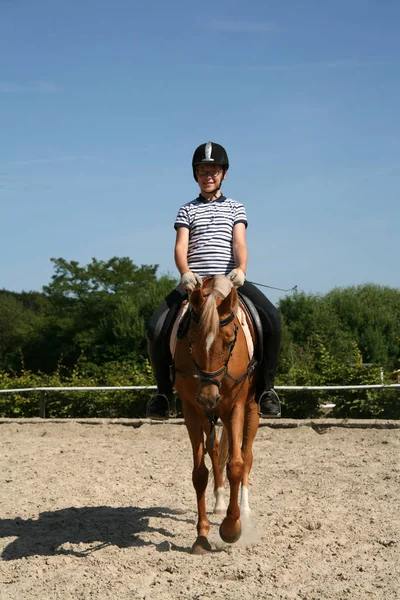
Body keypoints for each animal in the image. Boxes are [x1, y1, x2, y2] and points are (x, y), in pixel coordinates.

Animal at [175, 276, 260, 552]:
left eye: (230, 340)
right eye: (191, 340)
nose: (208, 397)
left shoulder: (236, 407)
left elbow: (236, 464)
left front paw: (232, 528)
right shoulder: (191, 411)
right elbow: (200, 473)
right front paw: (202, 535)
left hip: (252, 410)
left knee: (246, 455)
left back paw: (244, 511)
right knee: (214, 451)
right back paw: (220, 502)